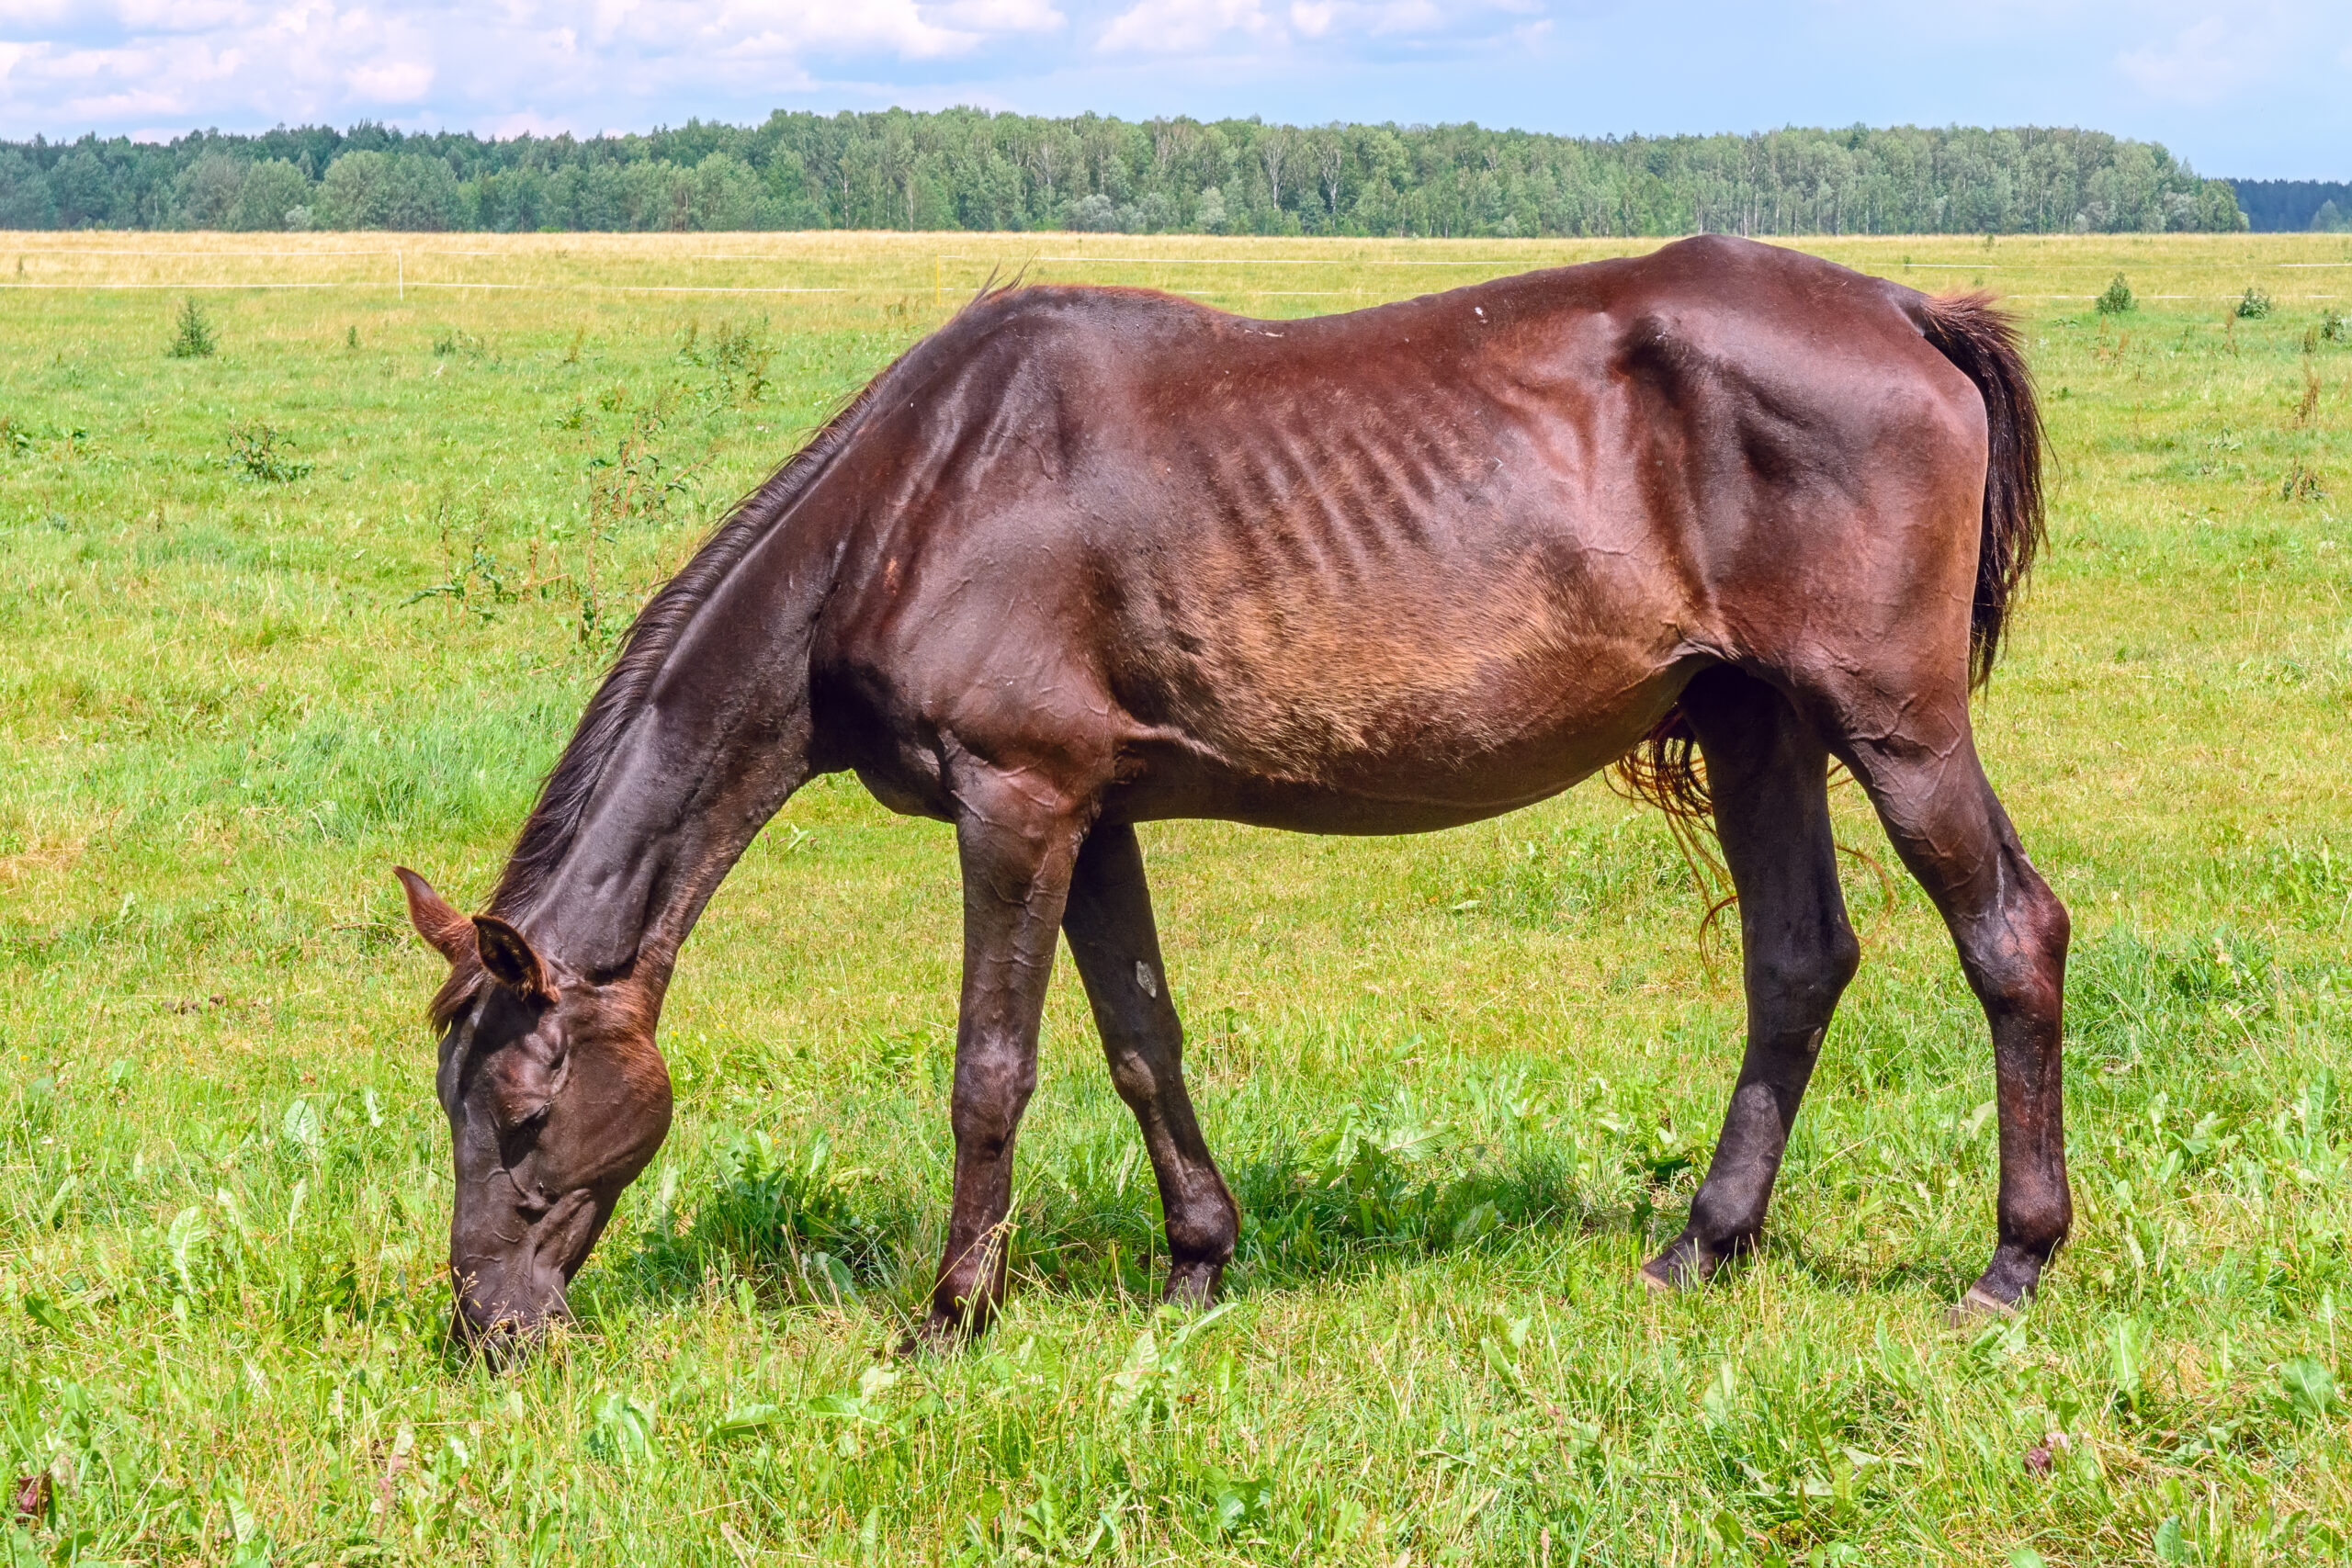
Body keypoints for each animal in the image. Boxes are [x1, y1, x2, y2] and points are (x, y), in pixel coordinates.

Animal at [396, 233, 2066, 1349]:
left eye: (525, 1109)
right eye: (449, 1099)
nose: (492, 1329)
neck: (921, 496)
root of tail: (1905, 310)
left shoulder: (1017, 802)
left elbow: (990, 1066)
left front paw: (950, 1312)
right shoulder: (1094, 812)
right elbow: (1143, 1040)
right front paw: (1197, 1260)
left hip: (1893, 723)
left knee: (2013, 937)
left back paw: (2011, 1262)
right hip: (1754, 722)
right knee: (1797, 961)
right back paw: (1704, 1247)